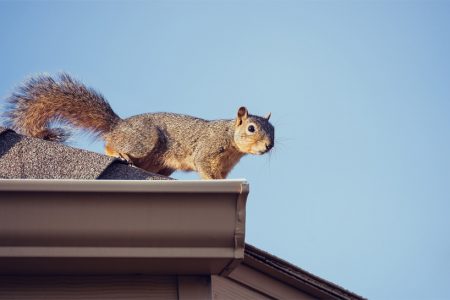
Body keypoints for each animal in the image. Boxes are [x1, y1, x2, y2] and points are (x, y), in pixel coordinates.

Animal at [3, 74, 274, 179]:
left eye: (273, 131)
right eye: (251, 128)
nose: (269, 146)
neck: (230, 139)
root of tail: (119, 125)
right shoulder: (207, 151)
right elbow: (204, 168)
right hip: (144, 141)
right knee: (110, 144)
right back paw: (119, 153)